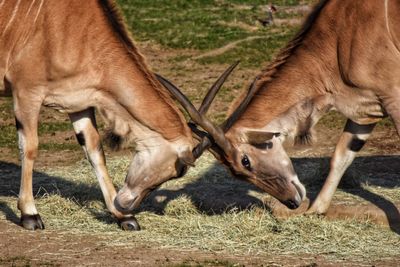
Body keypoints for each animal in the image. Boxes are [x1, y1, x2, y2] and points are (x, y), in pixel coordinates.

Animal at [0, 0, 234, 230]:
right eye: (175, 171)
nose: (126, 204)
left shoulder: (78, 103)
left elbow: (95, 151)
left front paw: (124, 218)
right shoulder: (26, 93)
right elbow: (30, 147)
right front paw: (30, 214)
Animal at [159, 0, 400, 214]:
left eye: (245, 161)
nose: (292, 202)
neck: (340, 37)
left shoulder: (393, 98)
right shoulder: (366, 110)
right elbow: (340, 156)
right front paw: (315, 211)